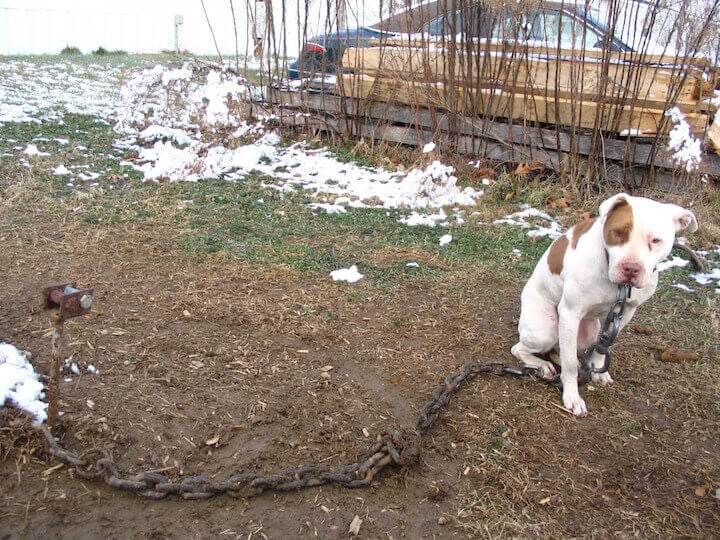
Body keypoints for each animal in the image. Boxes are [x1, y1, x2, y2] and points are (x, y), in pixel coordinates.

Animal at [512, 194, 696, 418]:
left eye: (656, 240)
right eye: (618, 232)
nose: (631, 268)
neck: (618, 285)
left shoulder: (625, 313)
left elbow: (603, 346)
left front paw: (598, 370)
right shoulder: (570, 314)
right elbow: (570, 366)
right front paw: (572, 397)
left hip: (587, 330)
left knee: (561, 350)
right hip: (546, 330)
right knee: (522, 349)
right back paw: (543, 365)